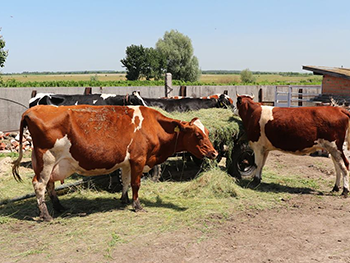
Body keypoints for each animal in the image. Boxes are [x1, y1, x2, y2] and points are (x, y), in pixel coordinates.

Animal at [12, 104, 217, 222]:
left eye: (207, 131)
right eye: (197, 135)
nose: (214, 153)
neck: (153, 126)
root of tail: (31, 110)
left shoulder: (127, 162)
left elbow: (125, 181)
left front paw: (124, 200)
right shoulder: (138, 159)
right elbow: (136, 183)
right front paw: (137, 205)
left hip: (50, 163)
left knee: (50, 184)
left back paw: (58, 207)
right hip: (47, 159)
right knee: (39, 185)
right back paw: (46, 215)